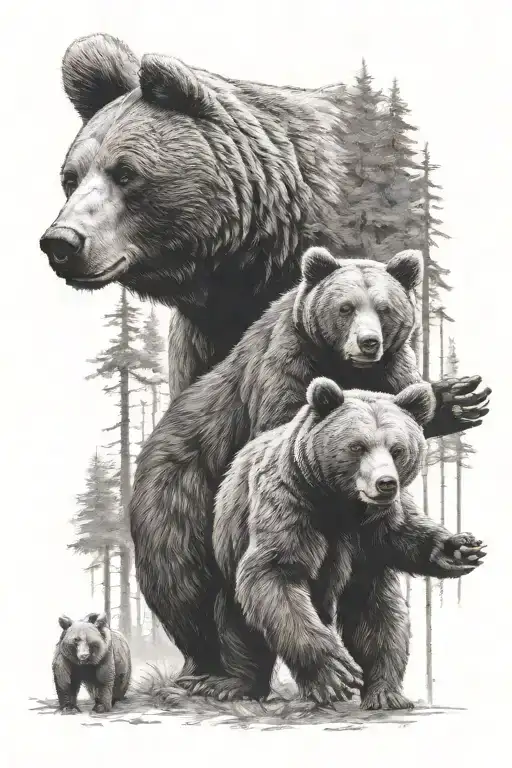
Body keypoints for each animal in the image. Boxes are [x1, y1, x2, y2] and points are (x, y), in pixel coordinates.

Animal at [212, 378, 487, 708]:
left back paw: (385, 692)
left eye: (397, 449)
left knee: (382, 618)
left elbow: (404, 536)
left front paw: (460, 549)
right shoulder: (290, 502)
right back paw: (238, 685)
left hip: (366, 578)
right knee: (239, 627)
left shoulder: (375, 526)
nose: (385, 483)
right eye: (357, 446)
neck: (344, 506)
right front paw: (335, 673)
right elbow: (275, 571)